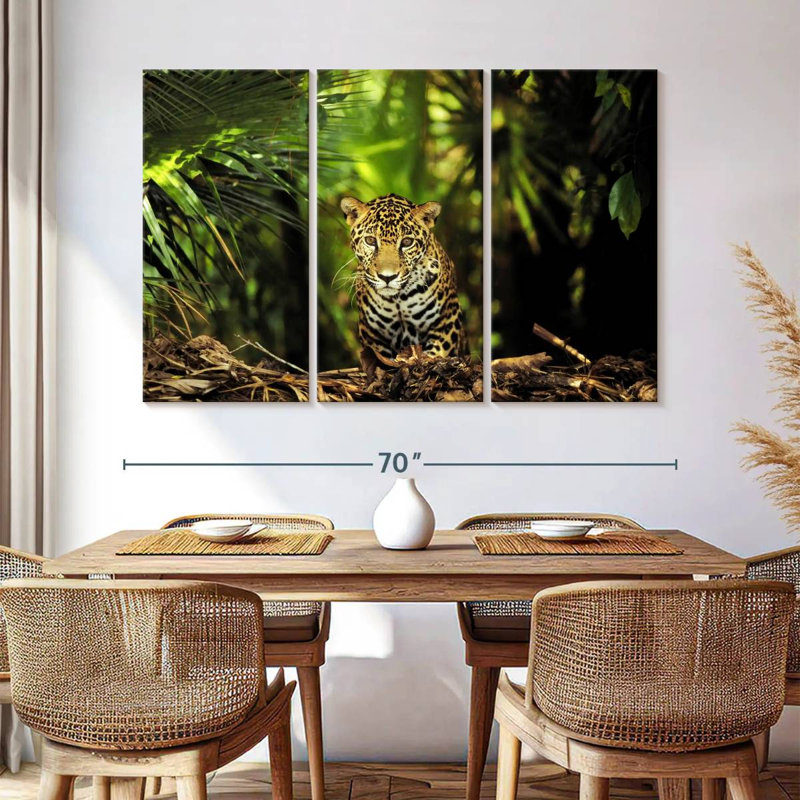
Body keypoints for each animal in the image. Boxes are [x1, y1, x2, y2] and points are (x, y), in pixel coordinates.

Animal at [340, 194, 468, 362]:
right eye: (370, 240)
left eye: (407, 242)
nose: (387, 277)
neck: (398, 299)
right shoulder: (371, 333)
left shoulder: (448, 319)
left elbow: (436, 353)